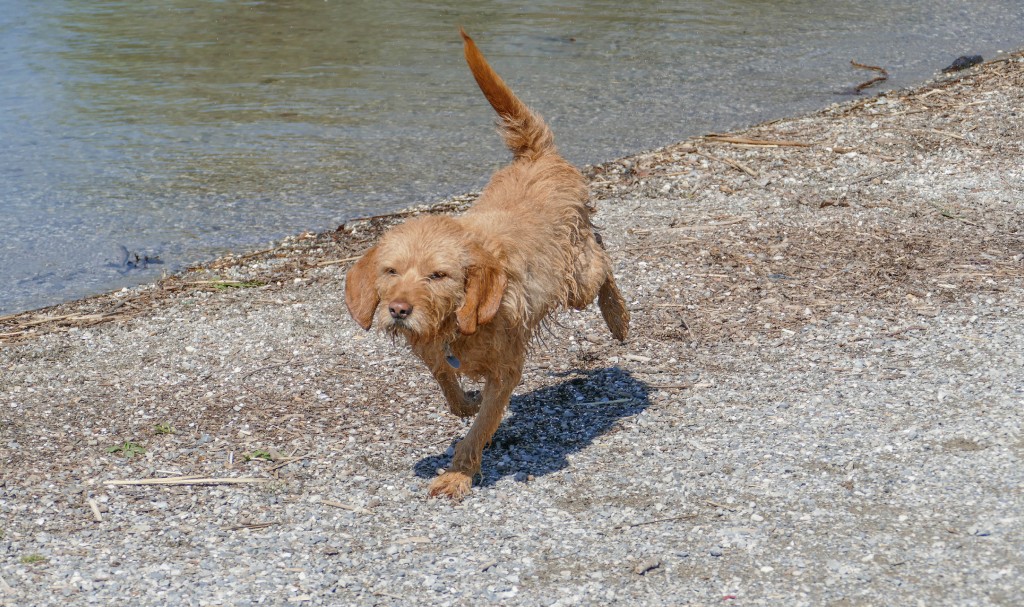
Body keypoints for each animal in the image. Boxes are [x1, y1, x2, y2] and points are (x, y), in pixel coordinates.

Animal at [344, 29, 629, 499]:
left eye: (438, 275)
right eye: (390, 271)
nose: (398, 310)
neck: (456, 323)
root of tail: (535, 156)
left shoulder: (506, 372)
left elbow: (480, 427)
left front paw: (459, 472)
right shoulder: (432, 351)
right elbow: (446, 382)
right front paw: (463, 402)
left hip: (575, 281)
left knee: (602, 259)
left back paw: (618, 317)